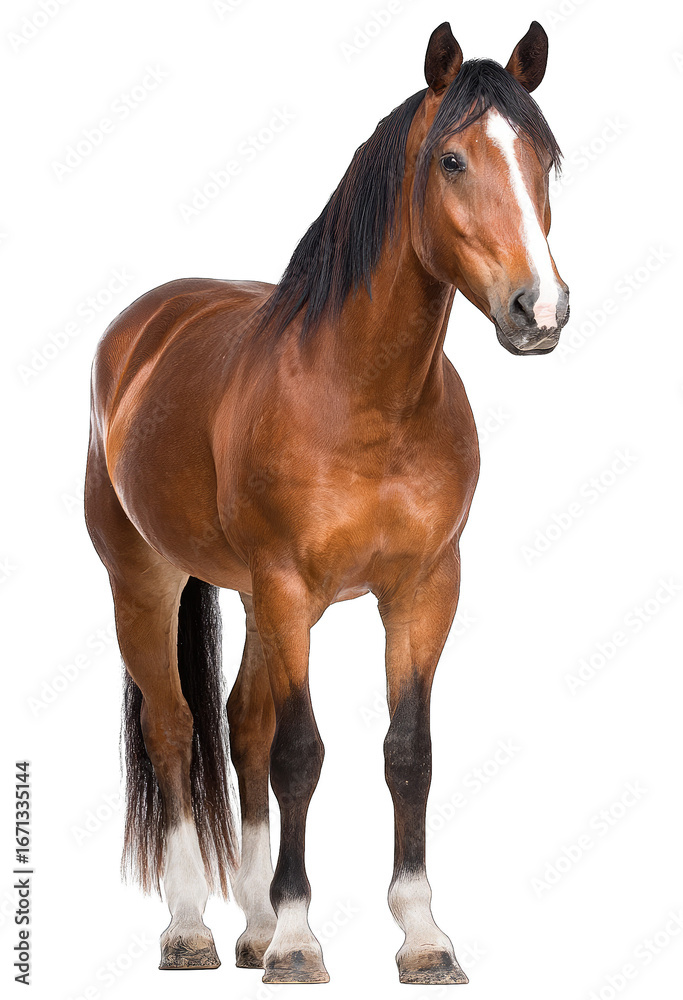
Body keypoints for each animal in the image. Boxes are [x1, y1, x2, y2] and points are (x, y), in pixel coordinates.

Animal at [85, 21, 568, 985]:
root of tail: (145, 329)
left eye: (544, 158)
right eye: (452, 160)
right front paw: (301, 940)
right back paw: (192, 927)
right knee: (175, 728)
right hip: (147, 581)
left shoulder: (423, 589)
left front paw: (420, 938)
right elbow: (300, 754)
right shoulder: (286, 586)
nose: (538, 309)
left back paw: (250, 924)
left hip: (254, 602)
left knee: (238, 724)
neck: (362, 397)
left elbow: (407, 753)